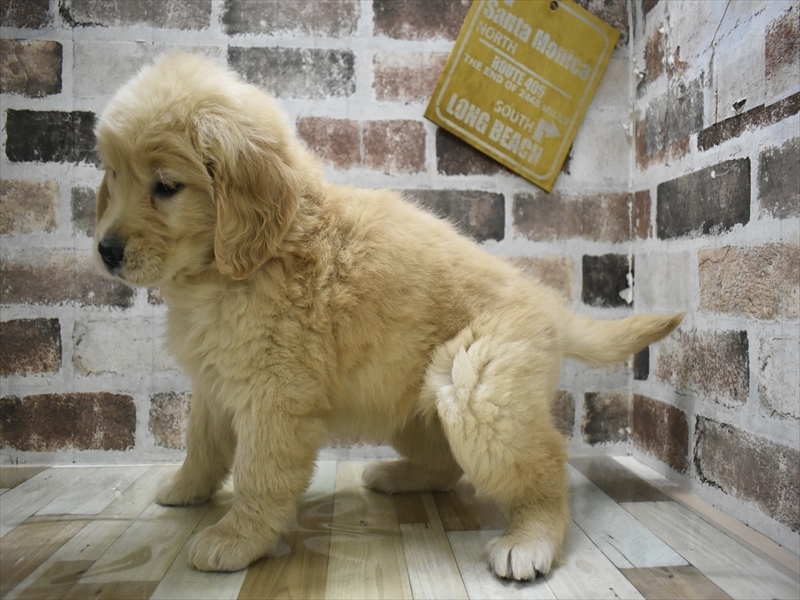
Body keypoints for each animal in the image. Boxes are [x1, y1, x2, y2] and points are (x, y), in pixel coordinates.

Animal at [93, 53, 683, 580]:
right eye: (114, 177)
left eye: (167, 187)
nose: (105, 251)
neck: (247, 260)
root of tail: (548, 304)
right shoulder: (215, 381)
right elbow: (202, 442)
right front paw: (185, 489)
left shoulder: (273, 396)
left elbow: (259, 472)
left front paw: (237, 538)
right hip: (411, 406)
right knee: (446, 467)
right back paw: (397, 476)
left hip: (476, 389)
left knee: (545, 465)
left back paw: (530, 539)